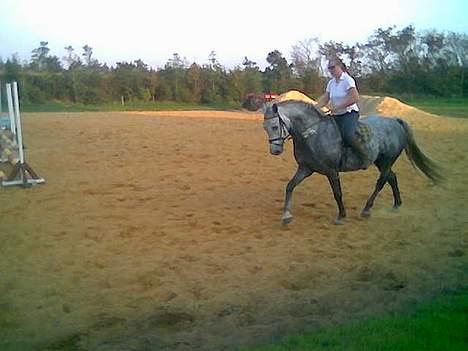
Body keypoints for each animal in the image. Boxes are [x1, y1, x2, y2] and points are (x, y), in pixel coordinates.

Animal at [264, 99, 442, 226]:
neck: (313, 134)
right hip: (381, 162)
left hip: (387, 161)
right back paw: (397, 205)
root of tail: (395, 121)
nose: (275, 151)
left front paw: (341, 216)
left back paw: (367, 209)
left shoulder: (331, 171)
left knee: (381, 182)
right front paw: (286, 216)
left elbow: (337, 193)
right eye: (265, 127)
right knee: (392, 177)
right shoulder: (305, 168)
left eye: (274, 126)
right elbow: (290, 186)